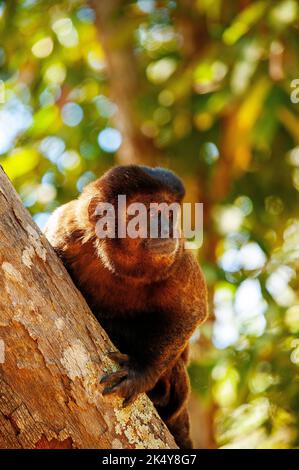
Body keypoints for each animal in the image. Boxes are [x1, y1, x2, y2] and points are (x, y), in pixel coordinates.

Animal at [44, 165, 209, 448]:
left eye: (169, 213)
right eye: (148, 212)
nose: (167, 228)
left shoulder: (178, 259)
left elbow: (193, 310)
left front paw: (141, 372)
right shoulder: (64, 229)